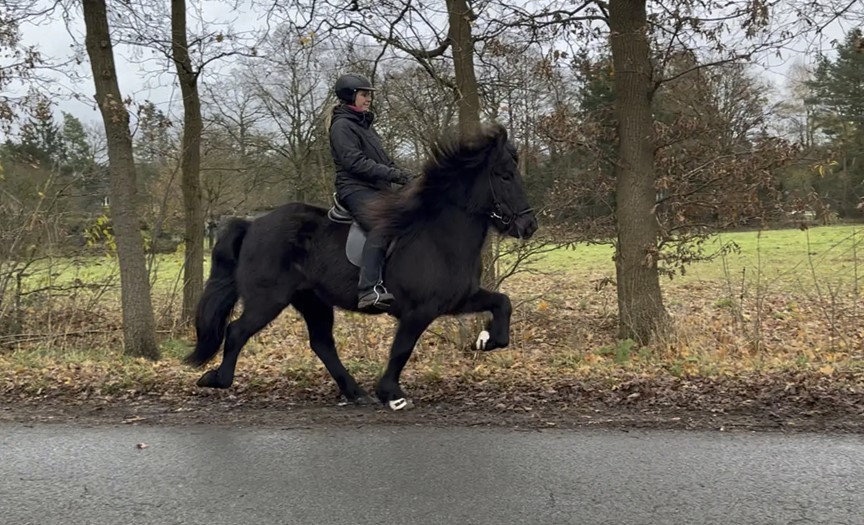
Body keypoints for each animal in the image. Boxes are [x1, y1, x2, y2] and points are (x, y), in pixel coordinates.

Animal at [184, 122, 538, 410]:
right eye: (504, 175)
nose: (529, 226)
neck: (440, 235)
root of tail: (253, 225)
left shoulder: (457, 299)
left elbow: (503, 302)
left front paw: (487, 340)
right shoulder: (419, 310)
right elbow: (402, 349)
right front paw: (391, 394)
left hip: (312, 301)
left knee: (322, 344)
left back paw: (354, 392)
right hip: (267, 299)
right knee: (237, 330)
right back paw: (216, 379)